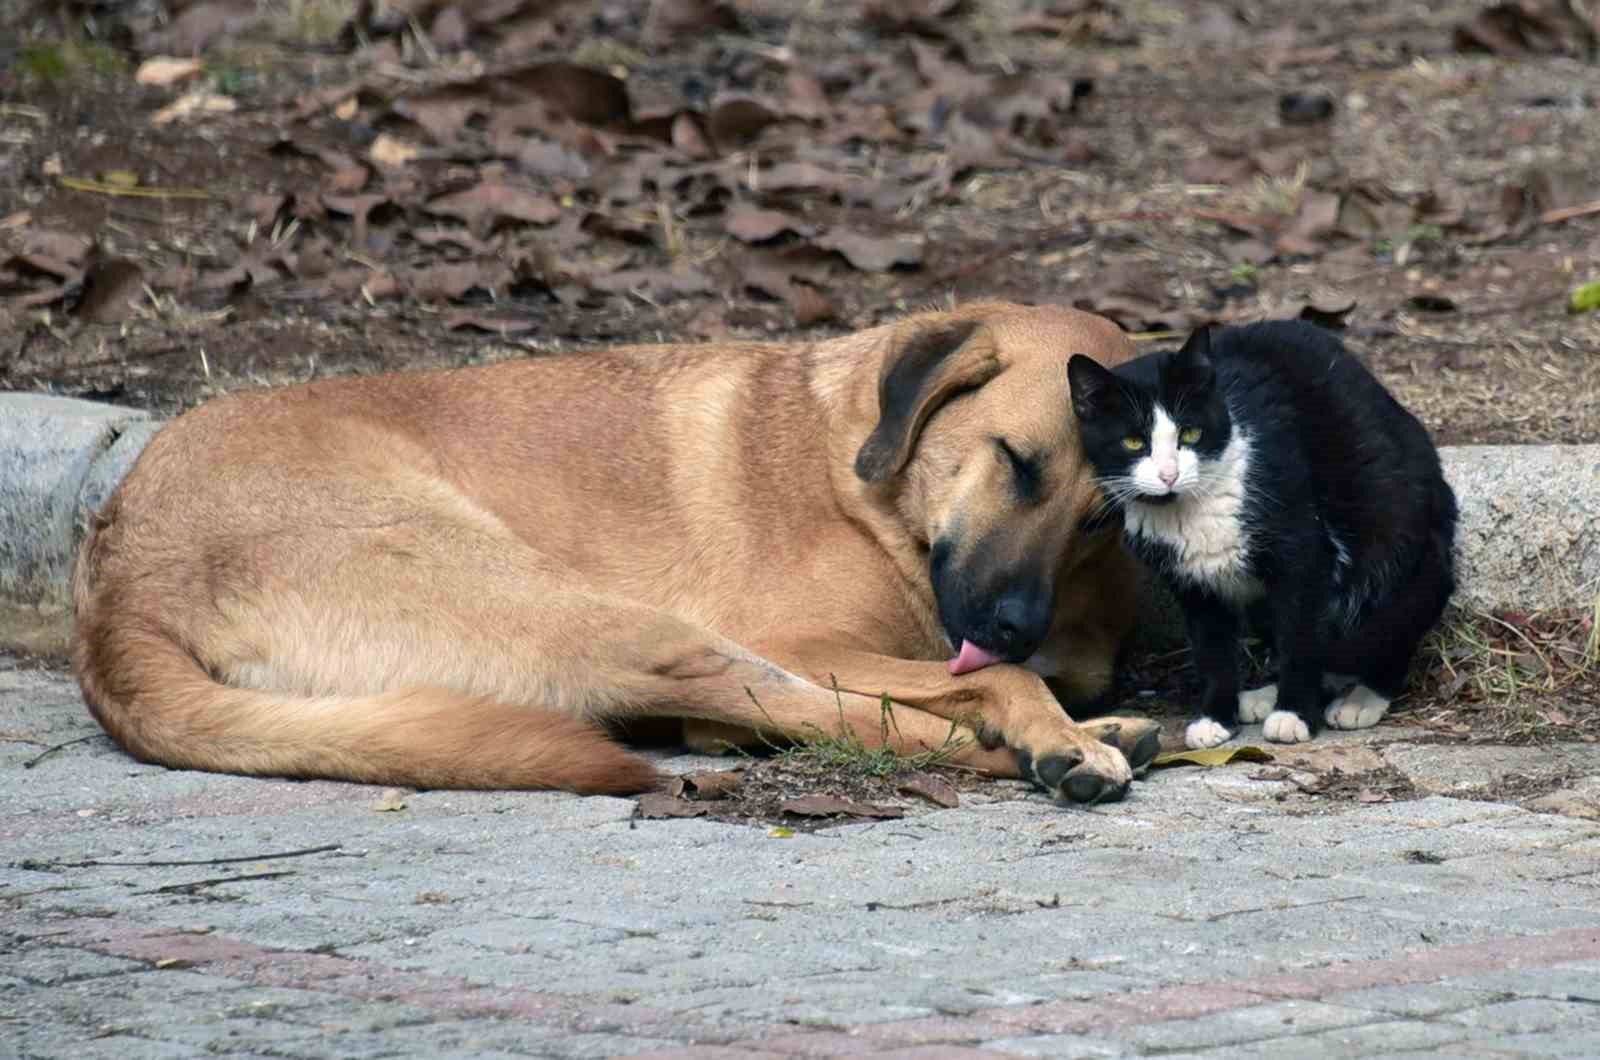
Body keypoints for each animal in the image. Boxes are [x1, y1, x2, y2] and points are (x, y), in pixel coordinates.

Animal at [75, 299, 1158, 807]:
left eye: (1101, 518)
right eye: (1014, 461)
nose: (1013, 622)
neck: (859, 472)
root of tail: (116, 586)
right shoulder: (807, 642)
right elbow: (984, 680)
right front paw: (1046, 721)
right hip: (619, 621)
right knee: (825, 717)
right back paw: (1053, 743)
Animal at [1068, 321, 1459, 746]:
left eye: (1190, 433)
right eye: (1133, 442)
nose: (1169, 475)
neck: (1189, 509)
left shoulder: (1303, 553)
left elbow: (1301, 638)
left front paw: (1294, 714)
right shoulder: (1193, 582)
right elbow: (1212, 650)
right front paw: (1216, 717)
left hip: (1401, 549)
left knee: (1386, 627)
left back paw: (1362, 698)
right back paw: (1262, 696)